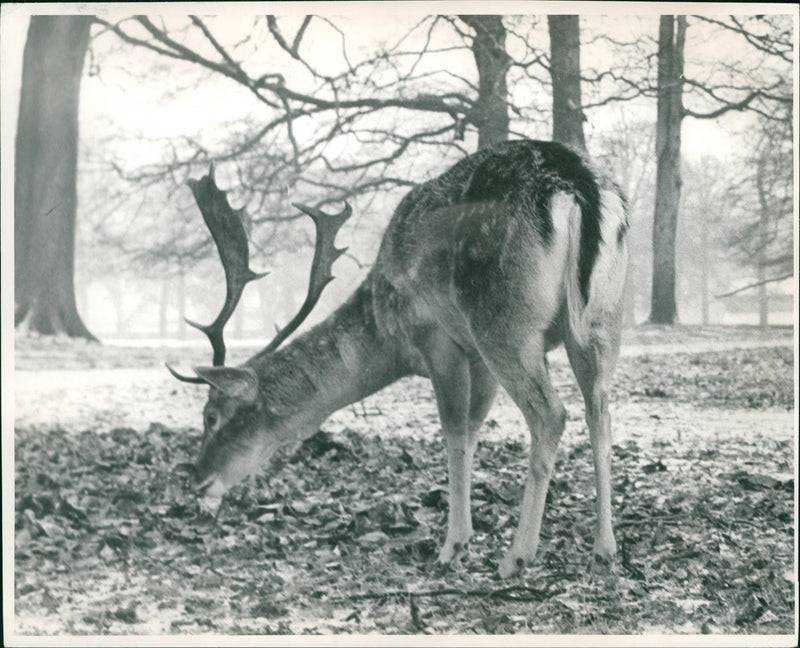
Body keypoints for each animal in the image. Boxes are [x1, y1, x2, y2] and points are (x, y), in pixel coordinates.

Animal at [170, 139, 632, 576]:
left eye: (211, 416)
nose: (196, 480)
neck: (387, 335)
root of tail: (576, 187)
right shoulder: (476, 357)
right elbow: (473, 429)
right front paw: (463, 539)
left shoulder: (437, 335)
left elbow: (454, 433)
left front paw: (452, 547)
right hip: (601, 320)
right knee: (599, 411)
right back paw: (604, 552)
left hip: (504, 322)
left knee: (550, 413)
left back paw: (517, 557)